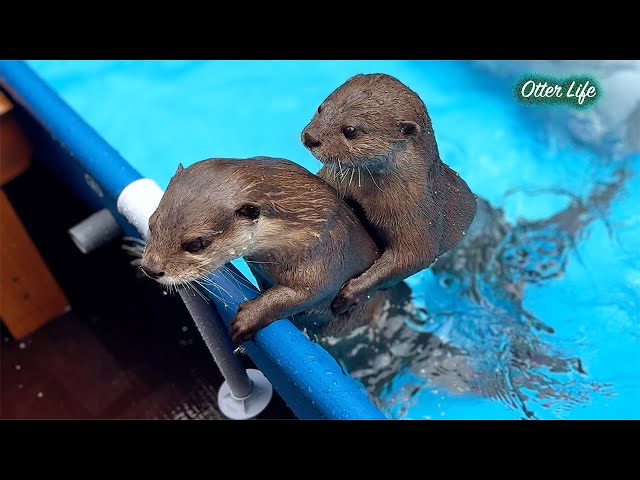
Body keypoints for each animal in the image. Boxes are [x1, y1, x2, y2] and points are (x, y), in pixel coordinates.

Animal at [140, 156, 384, 344]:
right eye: (151, 223)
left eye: (196, 244)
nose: (150, 269)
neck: (307, 225)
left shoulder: (327, 256)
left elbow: (305, 294)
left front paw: (248, 318)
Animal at [301, 73, 477, 315]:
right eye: (321, 108)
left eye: (350, 130)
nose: (310, 137)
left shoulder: (421, 219)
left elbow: (413, 257)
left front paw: (350, 294)